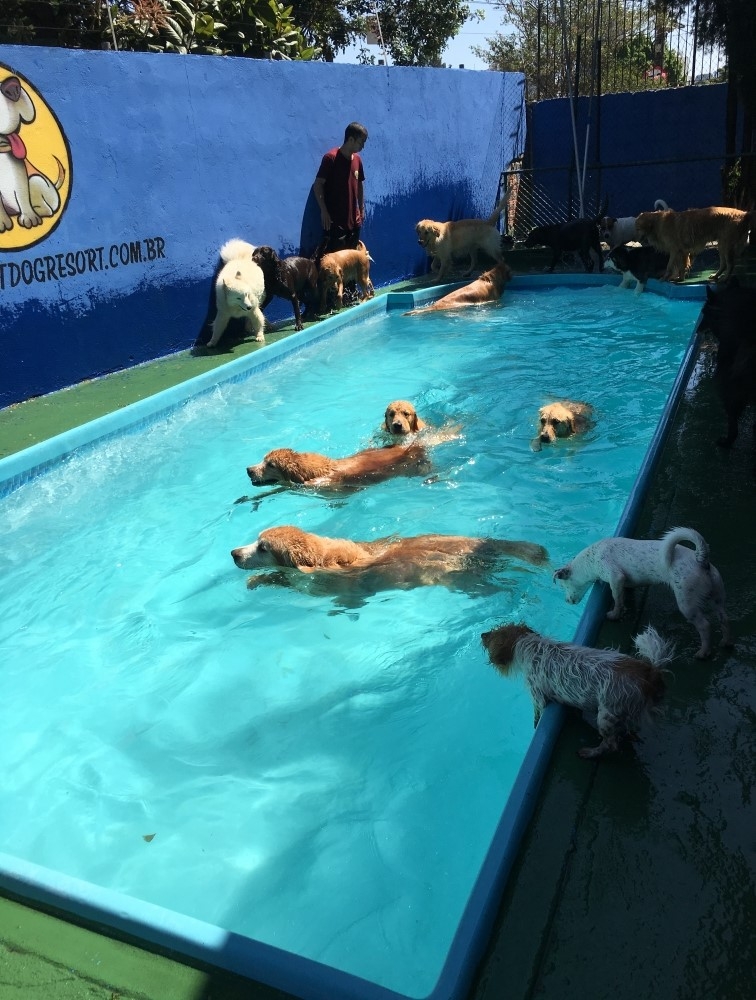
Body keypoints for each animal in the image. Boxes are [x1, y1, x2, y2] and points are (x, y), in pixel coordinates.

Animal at [482, 620, 672, 752]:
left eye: (493, 634)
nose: (482, 634)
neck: (529, 646)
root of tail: (650, 671)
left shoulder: (539, 697)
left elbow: (537, 714)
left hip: (606, 717)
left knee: (610, 745)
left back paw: (590, 752)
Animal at [548, 528, 732, 660]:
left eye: (563, 586)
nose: (567, 601)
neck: (590, 560)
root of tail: (701, 560)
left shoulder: (615, 577)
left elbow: (617, 599)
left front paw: (614, 614)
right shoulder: (626, 581)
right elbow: (625, 593)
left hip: (687, 602)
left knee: (705, 625)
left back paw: (703, 652)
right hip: (717, 598)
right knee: (724, 619)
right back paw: (724, 642)